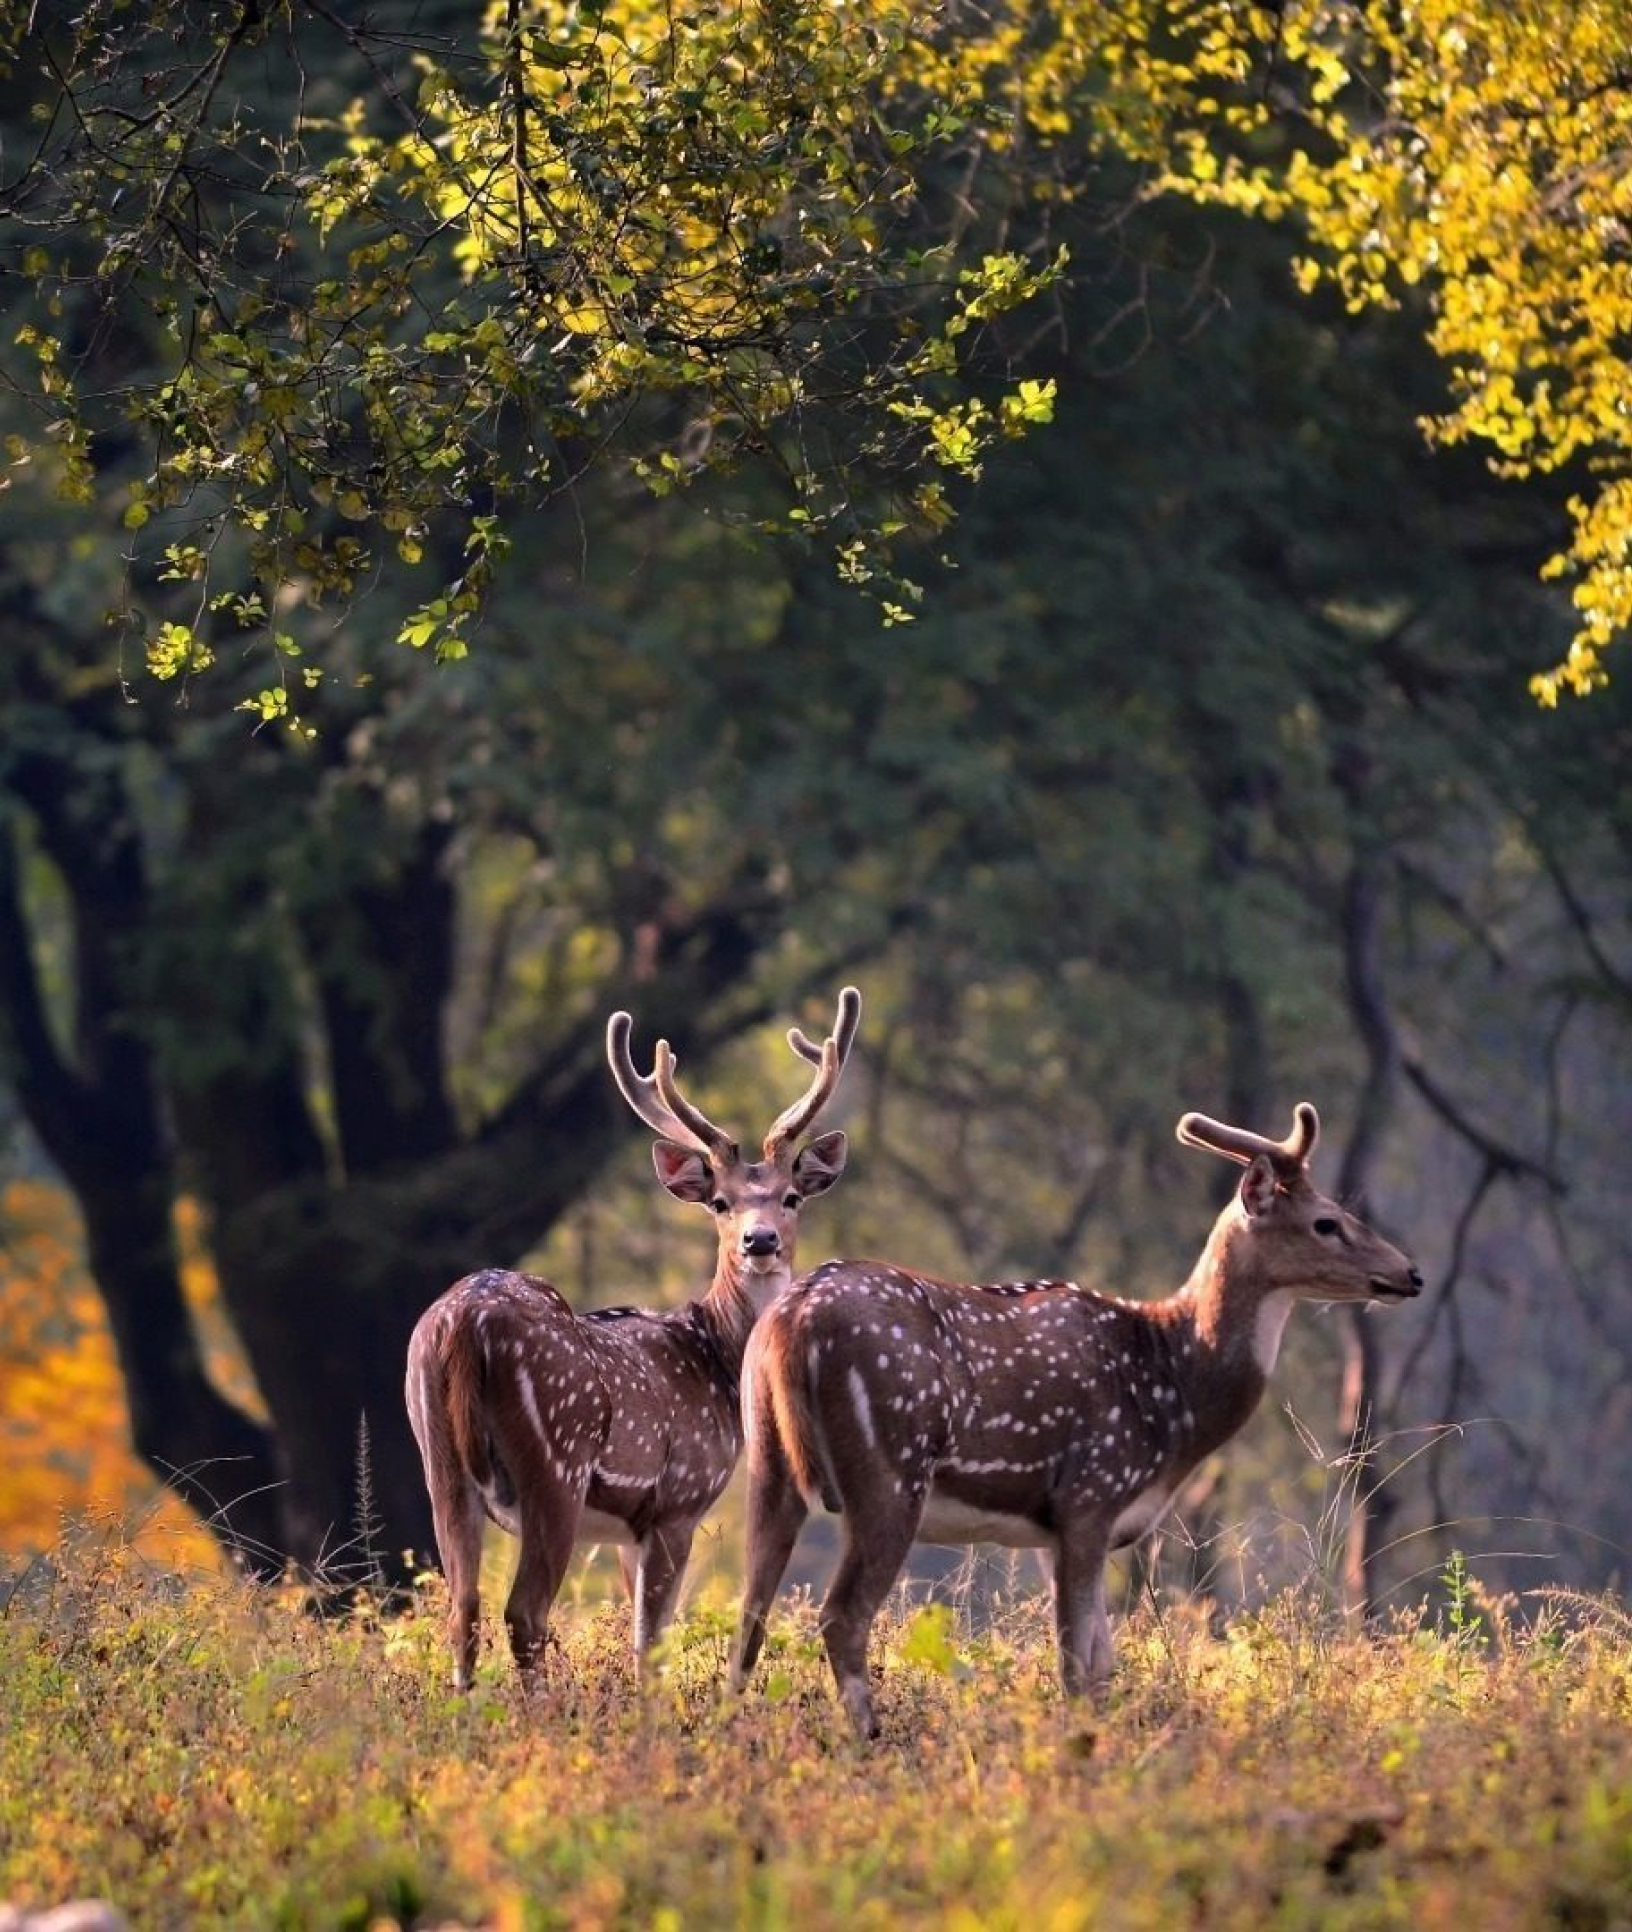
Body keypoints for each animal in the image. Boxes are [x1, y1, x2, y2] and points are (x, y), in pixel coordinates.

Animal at [405, 987, 859, 1689]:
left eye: (791, 1197)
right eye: (721, 1203)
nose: (760, 1241)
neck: (716, 1358)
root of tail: (461, 1325)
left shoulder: (627, 1531)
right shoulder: (677, 1501)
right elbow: (652, 1643)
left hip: (438, 1461)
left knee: (463, 1609)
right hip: (555, 1465)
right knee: (524, 1612)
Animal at [731, 1099, 1422, 1738]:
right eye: (1326, 1221)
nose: (1409, 1273)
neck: (1174, 1390)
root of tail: (792, 1320)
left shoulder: (1053, 1527)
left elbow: (1102, 1661)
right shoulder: (1092, 1492)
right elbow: (1077, 1665)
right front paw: (1083, 1745)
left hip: (768, 1459)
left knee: (751, 1610)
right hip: (889, 1470)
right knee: (841, 1615)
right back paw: (868, 1738)